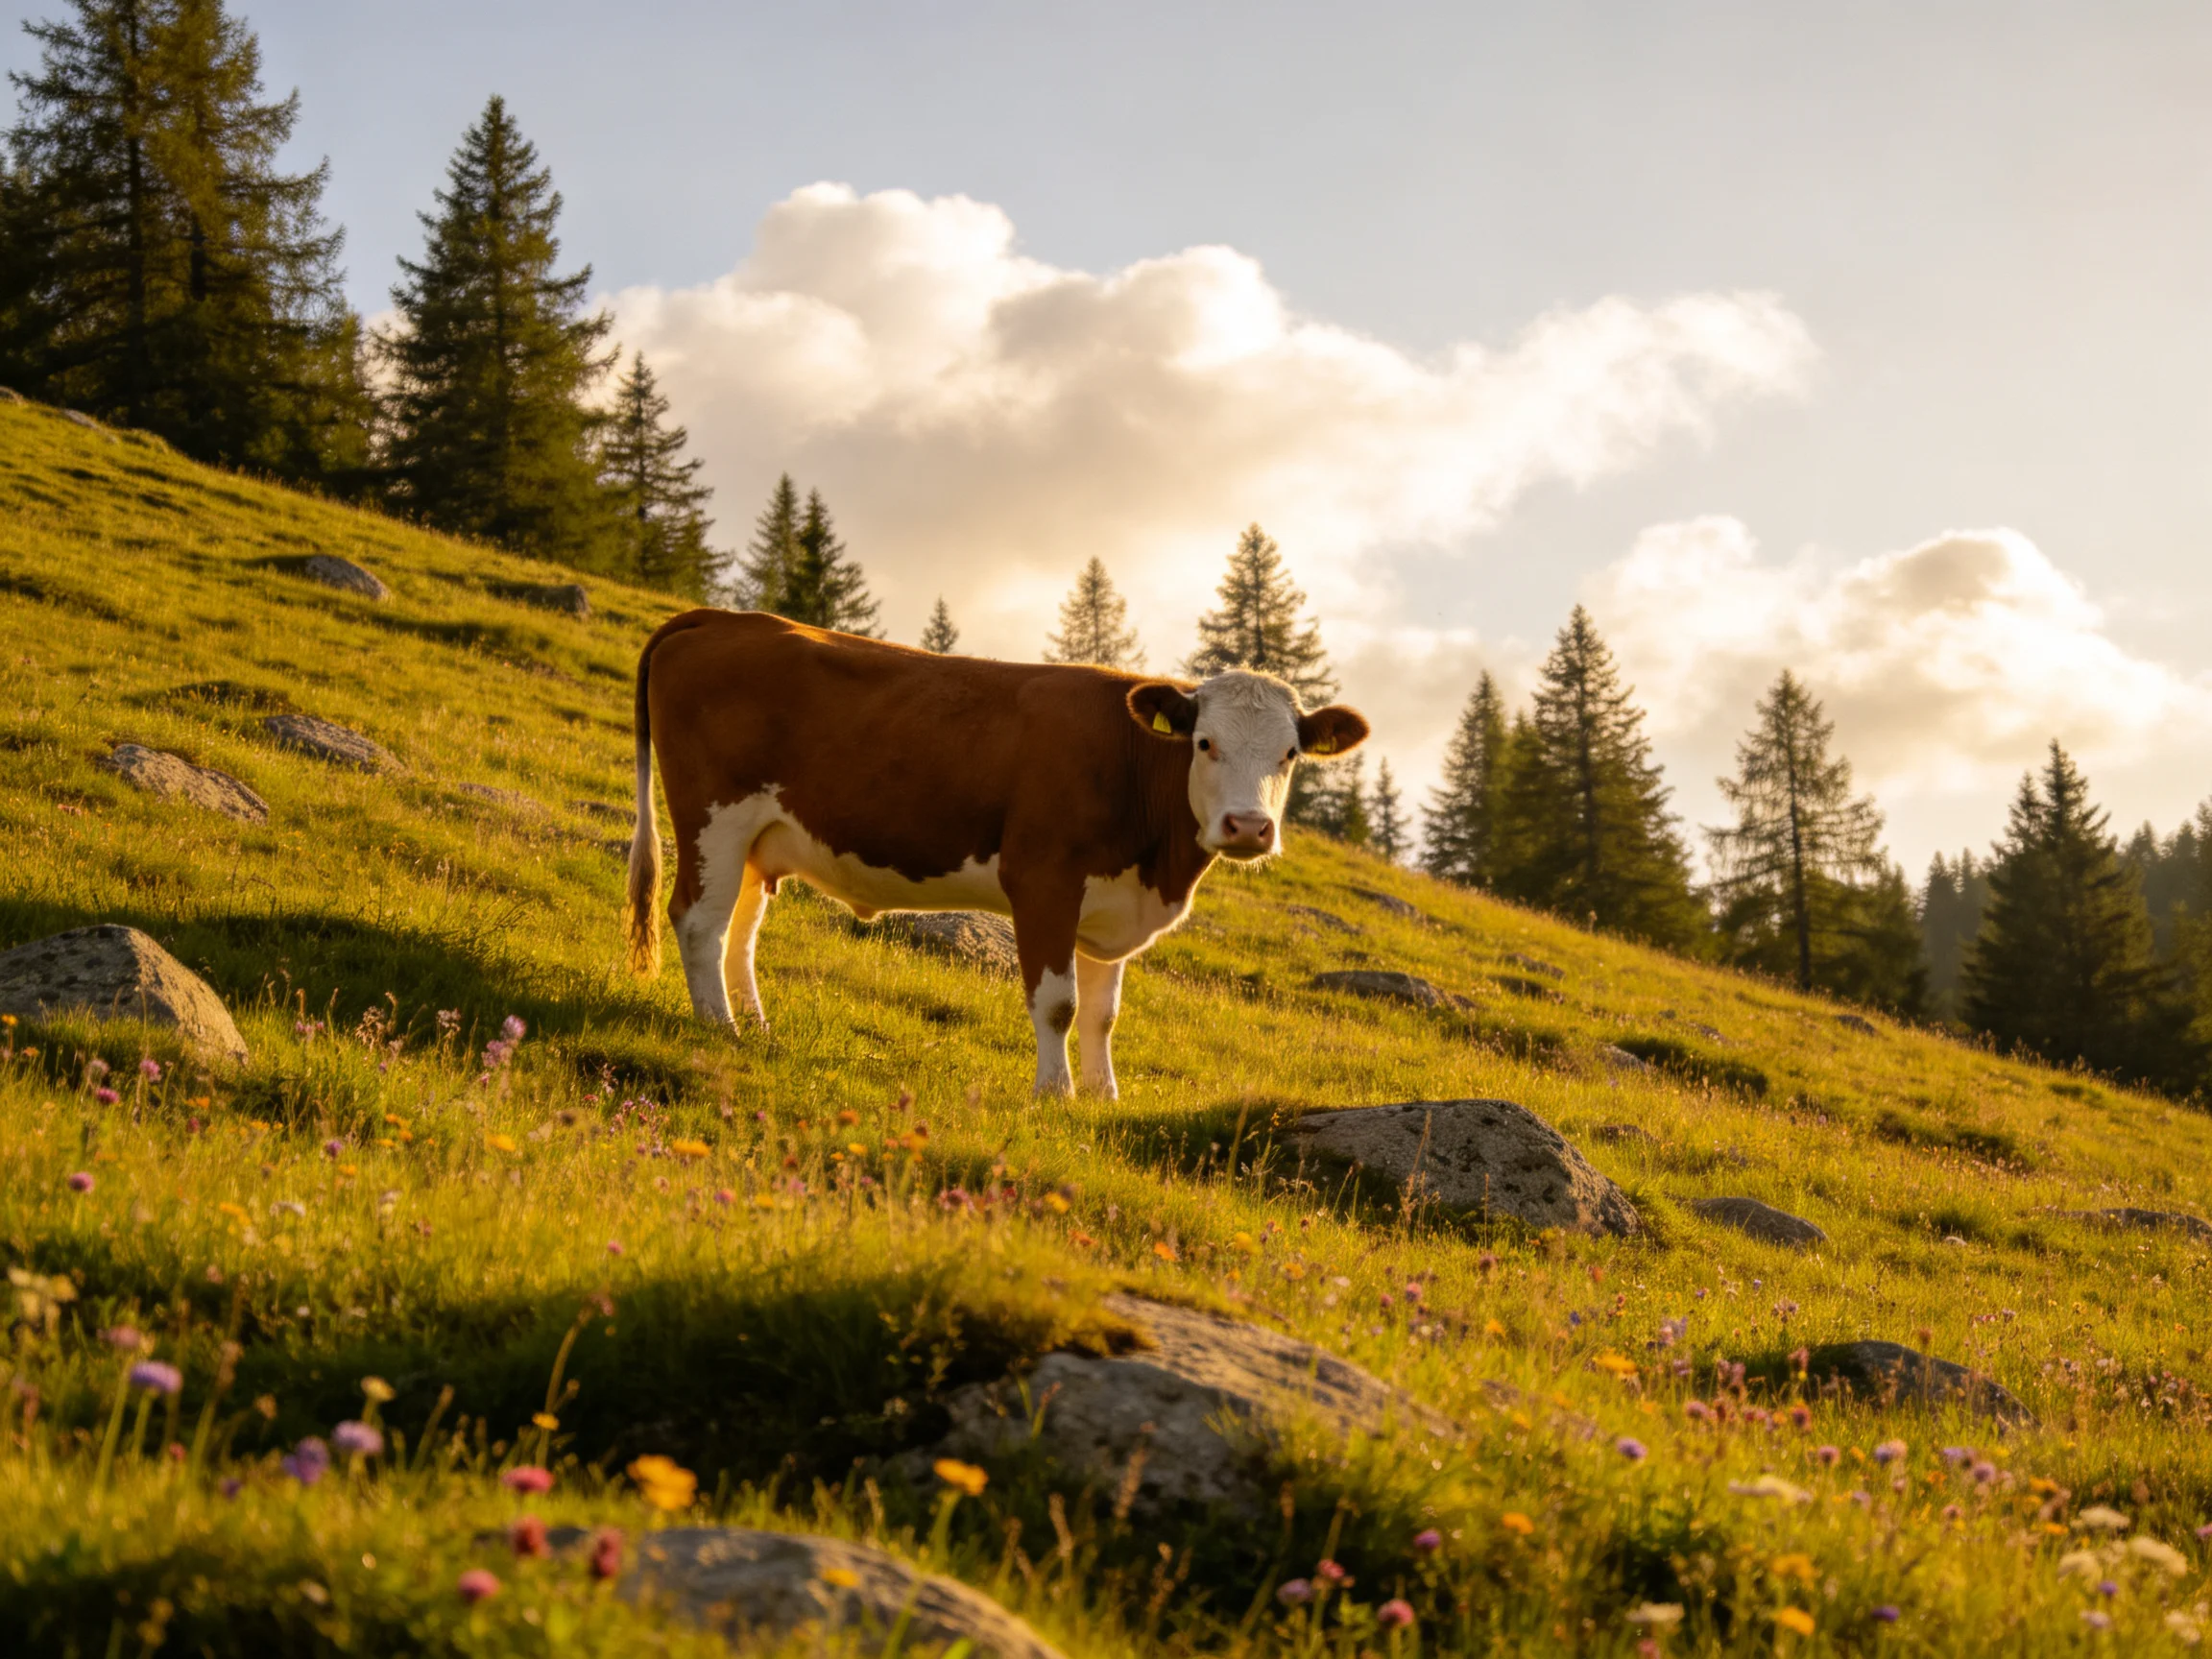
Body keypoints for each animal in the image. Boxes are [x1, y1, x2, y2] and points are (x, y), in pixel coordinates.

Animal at [623, 610, 1369, 1097]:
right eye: (1204, 743)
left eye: (1291, 753)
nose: (1247, 827)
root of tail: (723, 618)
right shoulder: (1043, 879)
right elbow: (1059, 1003)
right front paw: (1055, 1095)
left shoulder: (1113, 901)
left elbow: (1103, 1012)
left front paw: (1103, 1099)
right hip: (712, 815)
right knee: (699, 920)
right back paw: (721, 1029)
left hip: (758, 837)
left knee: (740, 929)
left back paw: (757, 1026)